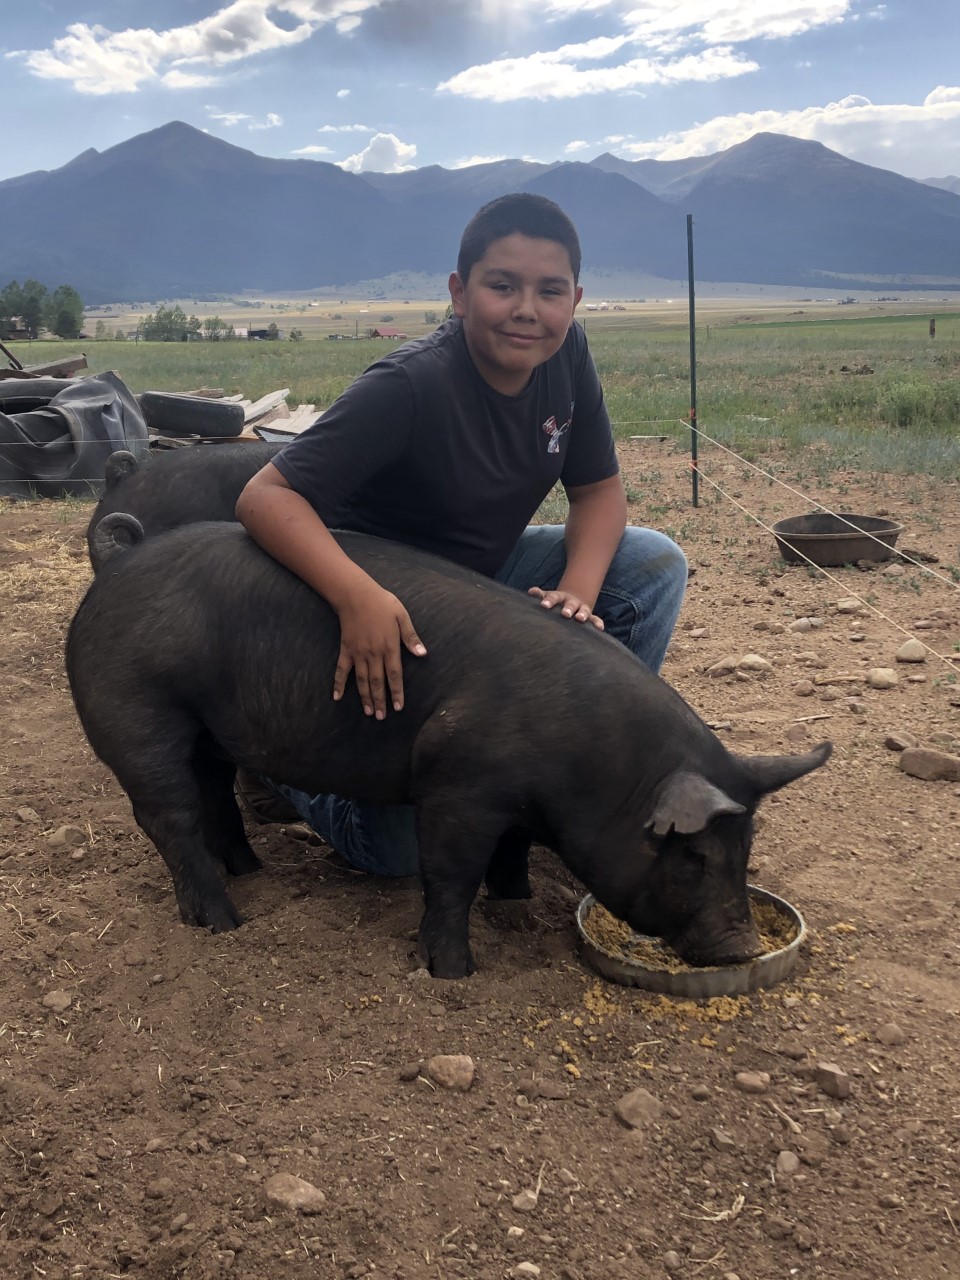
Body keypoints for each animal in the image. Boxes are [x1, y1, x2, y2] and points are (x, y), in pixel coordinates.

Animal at [68, 515, 831, 979]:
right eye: (693, 856)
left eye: (746, 849)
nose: (742, 947)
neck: (599, 769)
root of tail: (116, 562)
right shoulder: (458, 784)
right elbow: (452, 876)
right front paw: (455, 972)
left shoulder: (518, 804)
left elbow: (511, 856)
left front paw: (518, 908)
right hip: (138, 711)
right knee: (169, 816)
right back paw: (224, 924)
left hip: (208, 728)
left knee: (214, 795)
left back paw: (250, 871)